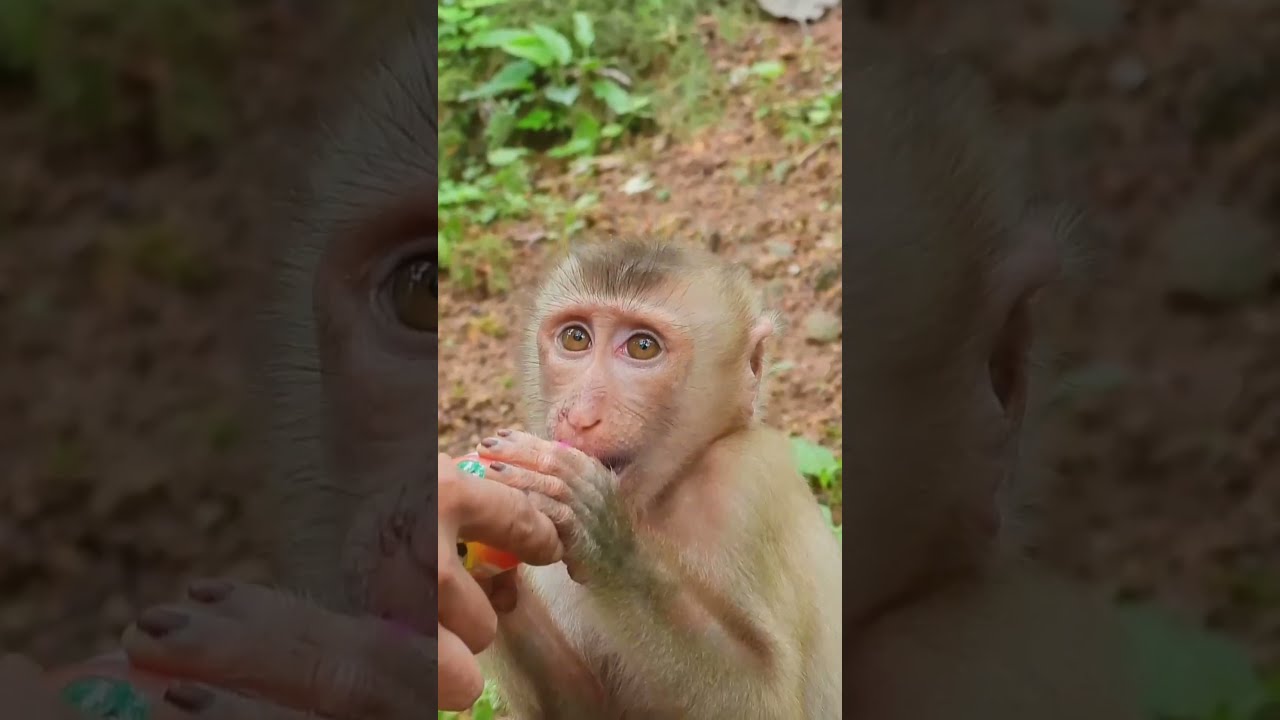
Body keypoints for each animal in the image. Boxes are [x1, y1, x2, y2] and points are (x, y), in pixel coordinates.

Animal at [467, 240, 844, 719]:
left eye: (643, 347)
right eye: (575, 338)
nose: (580, 415)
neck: (655, 502)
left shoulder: (750, 485)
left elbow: (770, 701)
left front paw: (603, 537)